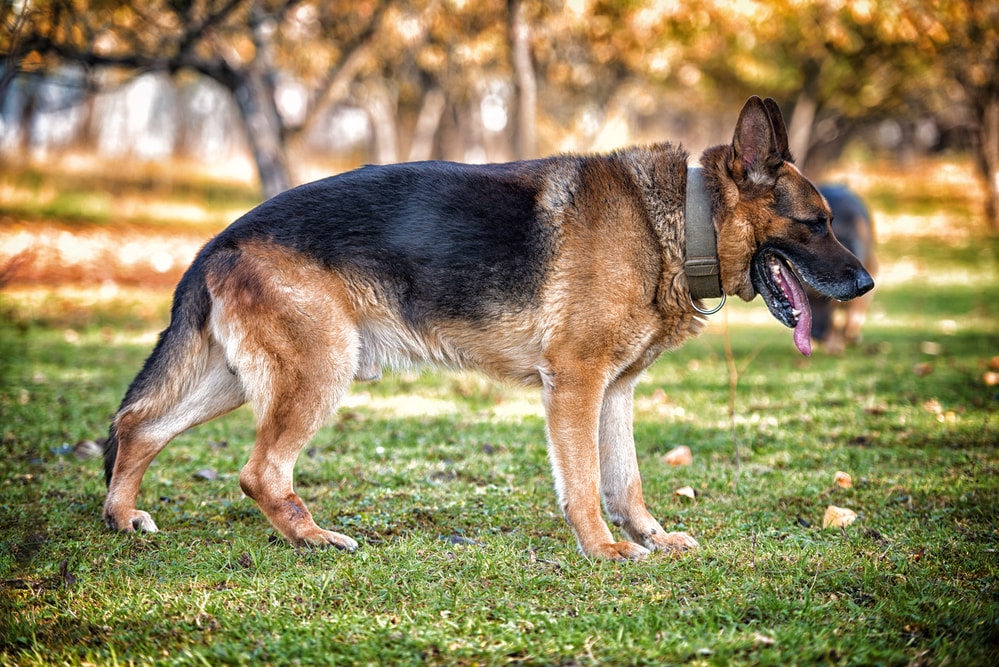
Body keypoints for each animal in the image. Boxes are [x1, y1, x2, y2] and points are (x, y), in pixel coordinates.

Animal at [99, 96, 868, 560]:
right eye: (815, 223)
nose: (864, 284)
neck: (679, 219)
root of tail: (220, 238)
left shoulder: (615, 390)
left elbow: (626, 481)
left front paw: (649, 536)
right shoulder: (575, 385)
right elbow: (585, 482)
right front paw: (604, 549)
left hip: (240, 376)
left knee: (139, 425)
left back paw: (121, 516)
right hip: (320, 367)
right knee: (258, 470)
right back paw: (313, 536)